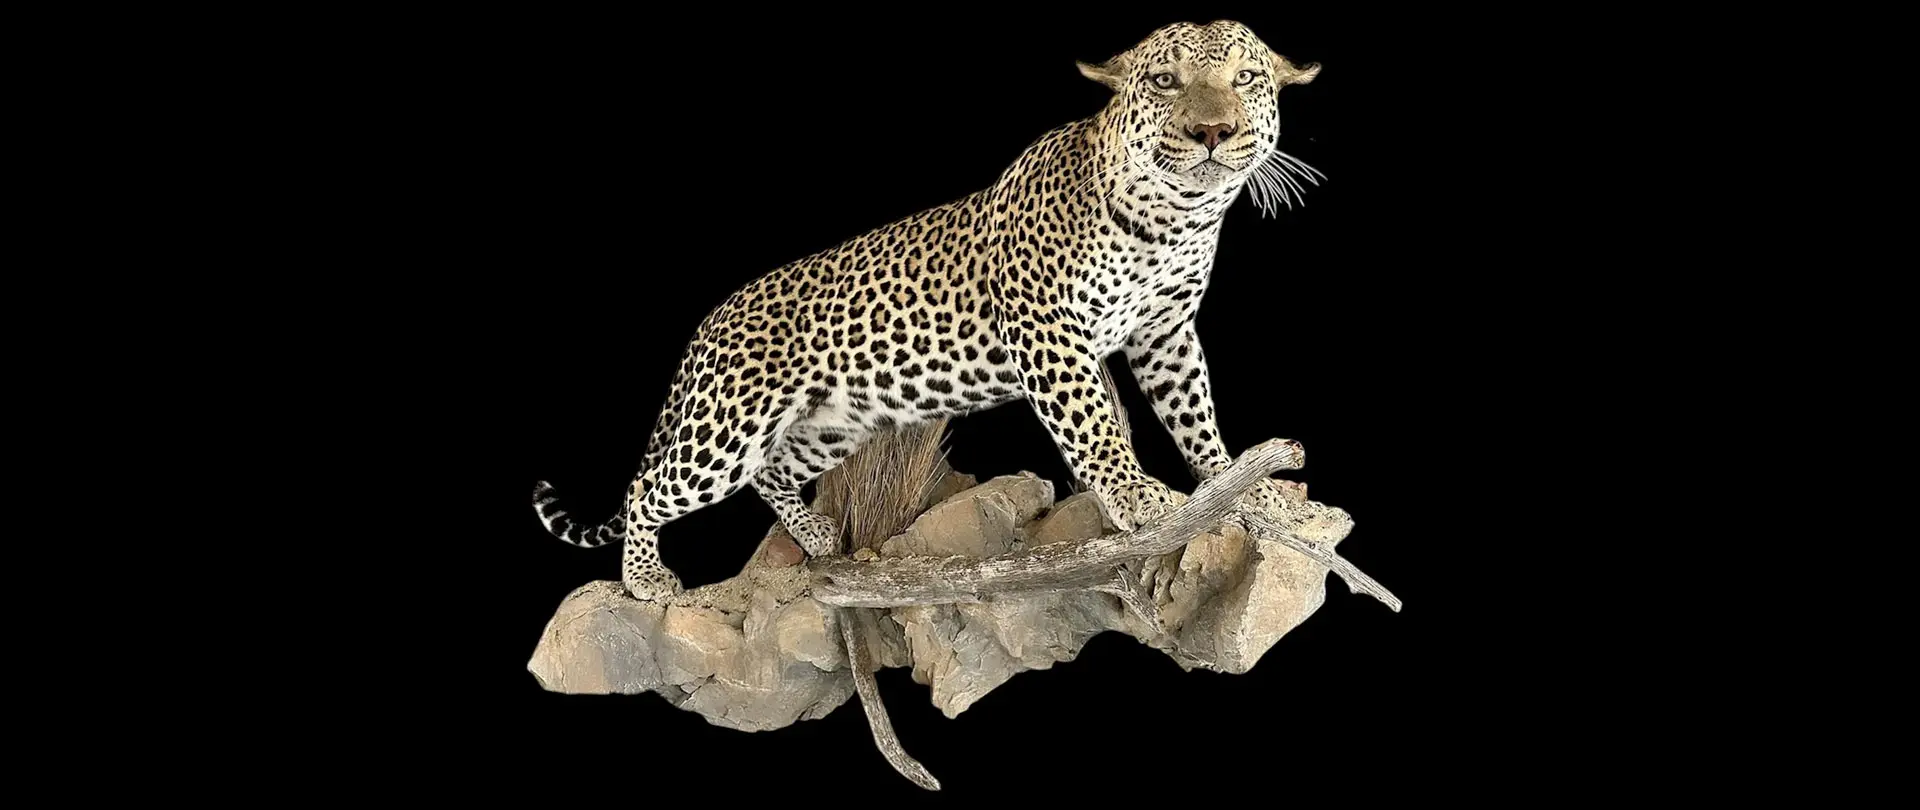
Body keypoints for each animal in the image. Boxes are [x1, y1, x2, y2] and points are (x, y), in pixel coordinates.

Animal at [534, 20, 1322, 600]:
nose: (1212, 133)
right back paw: (645, 581)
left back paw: (814, 535)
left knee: (774, 471)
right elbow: (1095, 425)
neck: (1175, 217)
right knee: (647, 486)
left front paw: (1246, 490)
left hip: (830, 425)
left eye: (1245, 80)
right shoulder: (1049, 330)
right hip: (726, 428)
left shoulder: (1165, 333)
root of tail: (711, 320)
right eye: (1165, 82)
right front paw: (1139, 496)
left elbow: (1197, 418)